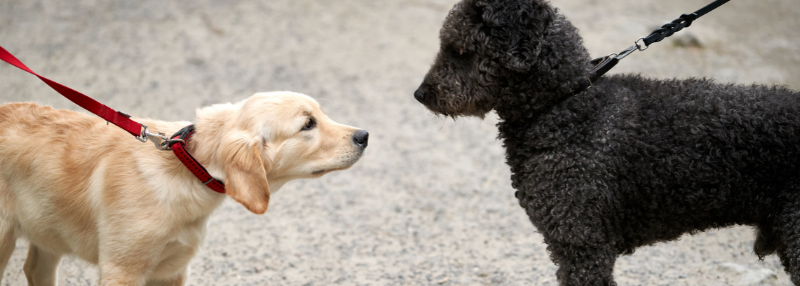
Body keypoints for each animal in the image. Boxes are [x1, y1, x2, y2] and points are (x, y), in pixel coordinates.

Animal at [0, 92, 368, 286]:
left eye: (319, 113)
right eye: (307, 124)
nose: (364, 135)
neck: (186, 167)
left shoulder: (171, 270)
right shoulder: (121, 270)